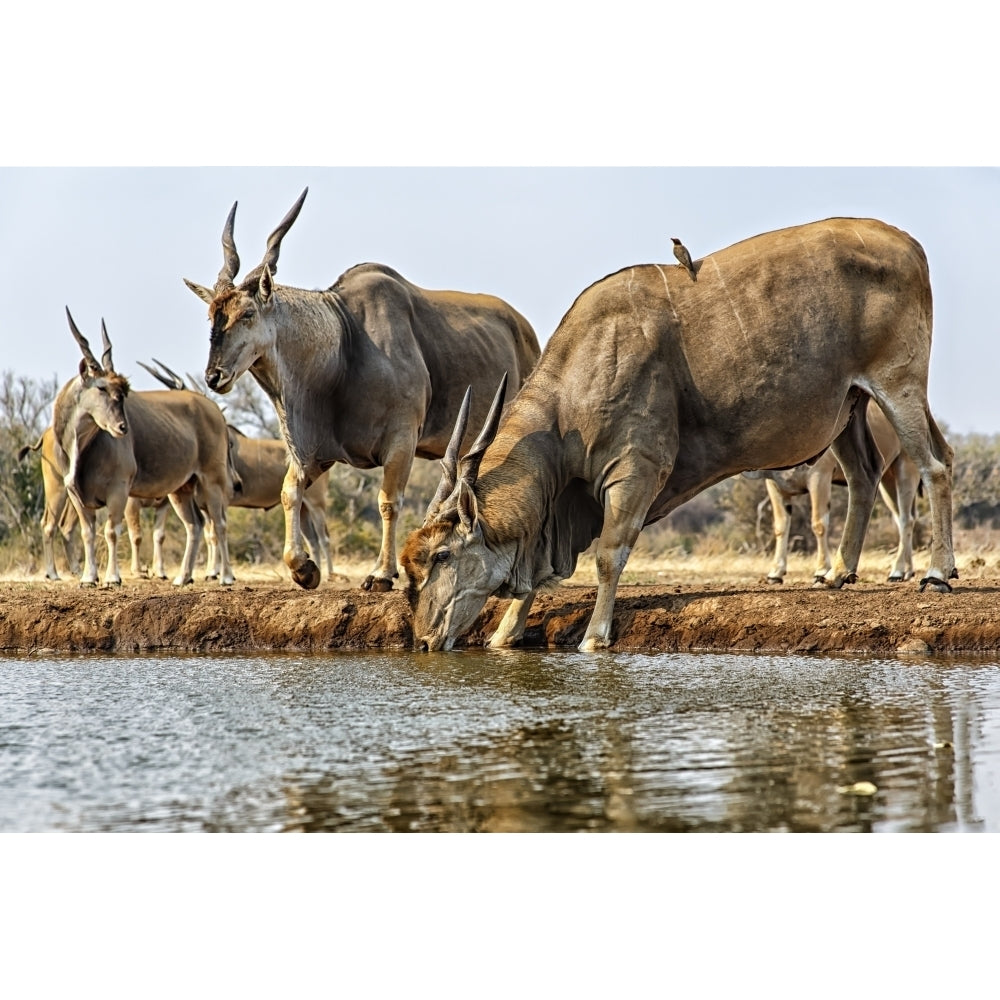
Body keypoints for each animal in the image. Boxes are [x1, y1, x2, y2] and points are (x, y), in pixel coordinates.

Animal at [55, 312, 240, 588]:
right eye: (101, 388)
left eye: (122, 392)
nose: (122, 427)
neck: (83, 446)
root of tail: (213, 409)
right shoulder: (76, 494)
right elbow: (88, 533)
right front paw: (88, 578)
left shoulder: (120, 490)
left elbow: (112, 531)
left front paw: (113, 578)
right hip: (181, 490)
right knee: (194, 525)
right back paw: (182, 577)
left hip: (212, 481)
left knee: (219, 524)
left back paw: (225, 577)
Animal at [182, 188, 540, 588]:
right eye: (212, 316)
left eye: (247, 314)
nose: (214, 376)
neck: (344, 341)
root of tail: (525, 330)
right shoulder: (316, 453)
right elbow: (290, 491)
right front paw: (303, 568)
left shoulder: (401, 440)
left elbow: (388, 501)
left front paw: (382, 573)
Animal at [752, 400, 920, 584]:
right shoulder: (775, 485)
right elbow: (781, 527)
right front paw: (775, 573)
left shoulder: (819, 477)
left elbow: (818, 524)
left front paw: (821, 571)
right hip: (886, 481)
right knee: (901, 518)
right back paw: (907, 571)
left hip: (906, 470)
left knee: (906, 519)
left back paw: (897, 571)